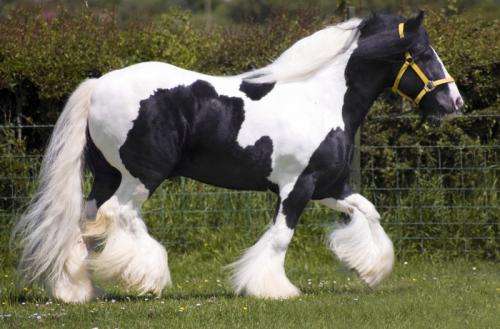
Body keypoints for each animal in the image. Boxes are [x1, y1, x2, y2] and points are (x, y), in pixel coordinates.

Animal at [13, 11, 462, 302]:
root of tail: (98, 84)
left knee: (85, 222)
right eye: (424, 54)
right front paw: (273, 290)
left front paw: (368, 268)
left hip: (108, 175)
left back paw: (76, 290)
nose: (454, 102)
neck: (322, 98)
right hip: (141, 176)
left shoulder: (329, 186)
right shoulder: (297, 187)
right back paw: (147, 278)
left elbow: (369, 211)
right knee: (119, 216)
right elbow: (280, 238)